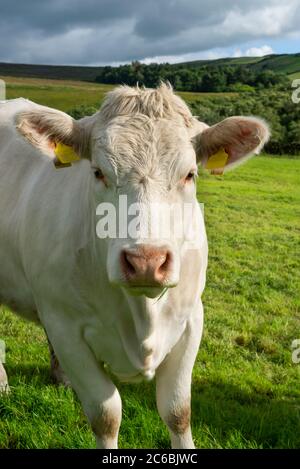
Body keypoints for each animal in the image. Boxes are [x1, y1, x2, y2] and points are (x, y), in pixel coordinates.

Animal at [0, 84, 270, 446]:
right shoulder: (65, 326)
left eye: (190, 174)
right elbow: (106, 414)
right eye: (98, 172)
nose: (146, 261)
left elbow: (177, 411)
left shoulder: (191, 319)